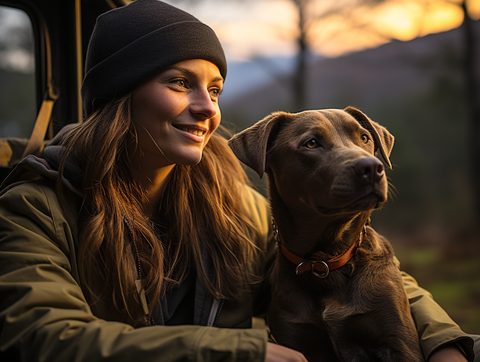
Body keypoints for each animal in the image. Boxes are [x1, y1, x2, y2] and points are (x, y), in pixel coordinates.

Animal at [229, 106, 424, 360]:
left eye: (364, 137)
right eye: (311, 143)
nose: (372, 167)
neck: (326, 260)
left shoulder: (398, 339)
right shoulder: (294, 338)